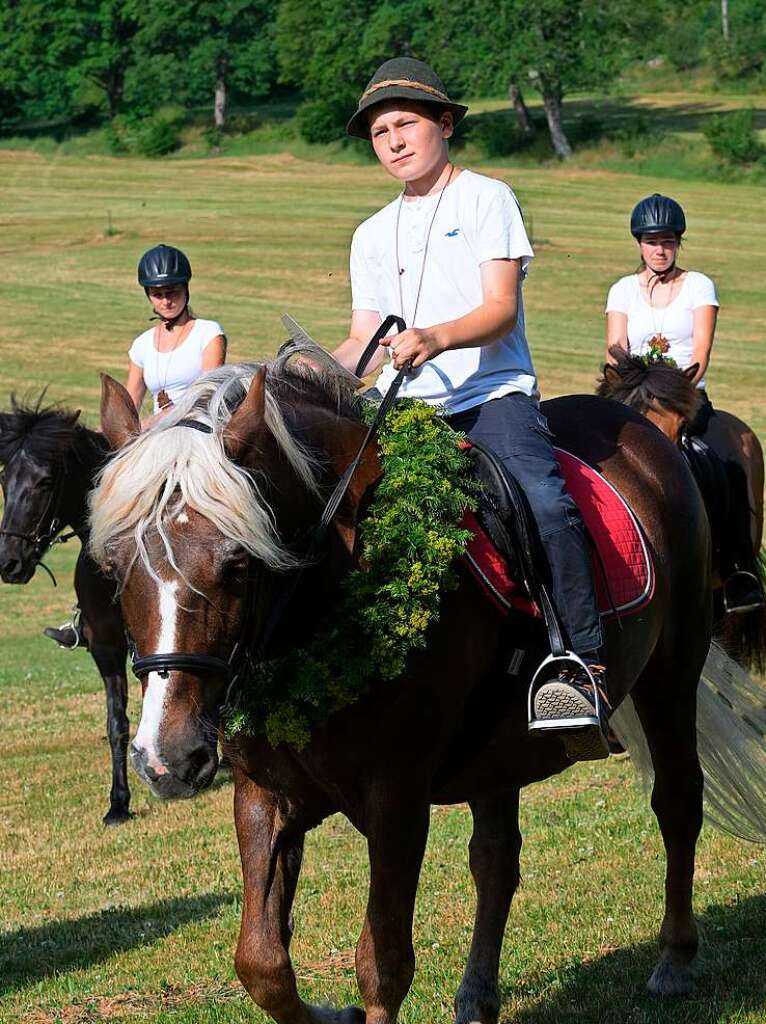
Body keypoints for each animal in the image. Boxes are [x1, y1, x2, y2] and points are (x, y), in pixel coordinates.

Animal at [0, 393, 132, 823]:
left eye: (45, 481)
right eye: (4, 480)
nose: (9, 564)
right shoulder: (106, 646)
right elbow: (116, 721)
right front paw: (118, 804)